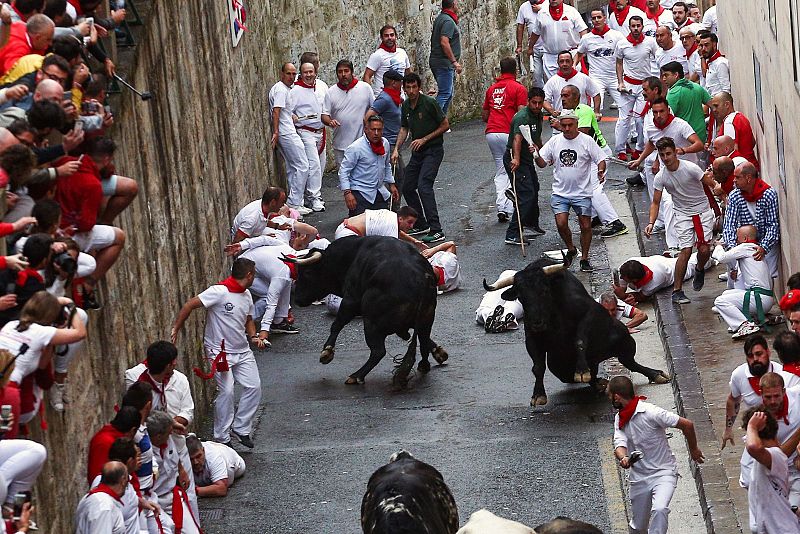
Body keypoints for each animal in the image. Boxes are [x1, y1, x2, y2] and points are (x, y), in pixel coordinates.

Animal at [284, 238, 446, 386]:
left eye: (307, 272)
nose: (297, 299)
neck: (351, 256)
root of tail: (421, 279)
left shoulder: (350, 300)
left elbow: (337, 324)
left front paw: (327, 352)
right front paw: (439, 352)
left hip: (371, 324)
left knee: (378, 351)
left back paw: (356, 376)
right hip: (426, 318)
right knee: (423, 340)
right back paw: (424, 365)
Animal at [482, 260, 668, 406]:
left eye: (544, 290)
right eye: (520, 296)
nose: (537, 322)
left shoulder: (588, 314)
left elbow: (579, 341)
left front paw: (581, 371)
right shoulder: (532, 338)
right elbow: (538, 367)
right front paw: (538, 395)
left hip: (625, 341)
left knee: (629, 362)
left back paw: (656, 374)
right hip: (558, 366)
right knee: (588, 374)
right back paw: (598, 382)